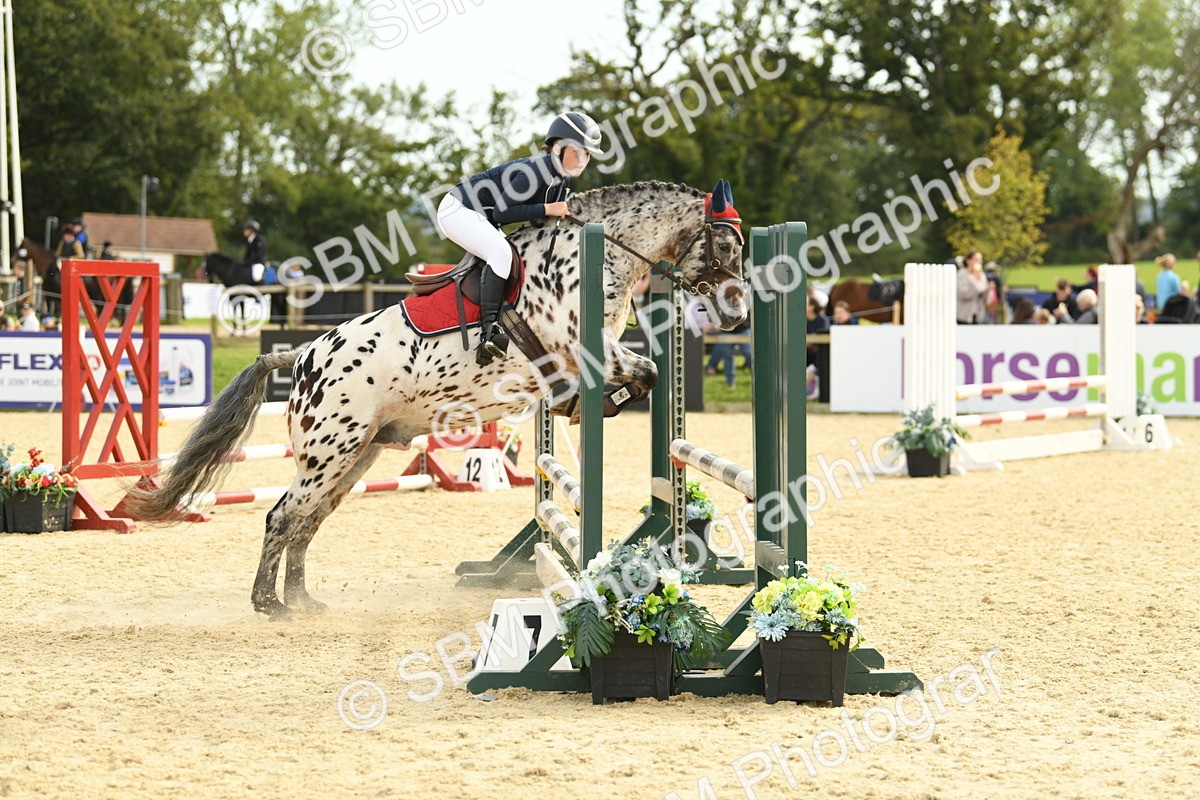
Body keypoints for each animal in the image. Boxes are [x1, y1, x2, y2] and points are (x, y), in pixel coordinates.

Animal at [123, 180, 749, 618]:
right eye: (725, 244)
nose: (738, 315)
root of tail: (300, 359)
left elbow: (645, 374)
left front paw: (579, 405)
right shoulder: (582, 349)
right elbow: (644, 372)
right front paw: (589, 403)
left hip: (356, 457)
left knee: (307, 521)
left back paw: (302, 602)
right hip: (328, 453)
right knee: (283, 515)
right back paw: (268, 605)